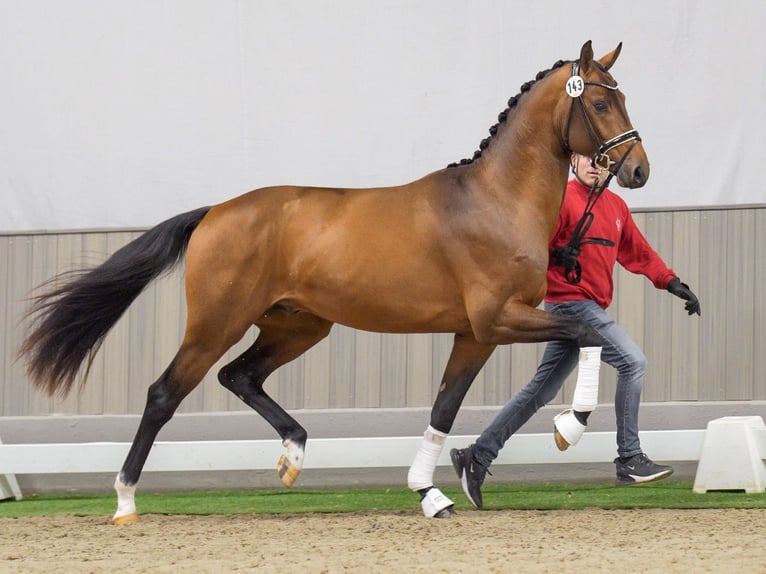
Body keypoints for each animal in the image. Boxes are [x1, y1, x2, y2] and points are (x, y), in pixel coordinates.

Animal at [19, 42, 648, 524]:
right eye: (599, 101)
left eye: (623, 97)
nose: (639, 169)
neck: (495, 200)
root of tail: (215, 212)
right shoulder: (497, 319)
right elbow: (585, 335)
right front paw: (570, 426)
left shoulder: (475, 334)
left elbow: (445, 408)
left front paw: (431, 493)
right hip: (216, 323)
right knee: (164, 393)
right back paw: (125, 501)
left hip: (299, 327)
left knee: (239, 376)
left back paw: (294, 455)